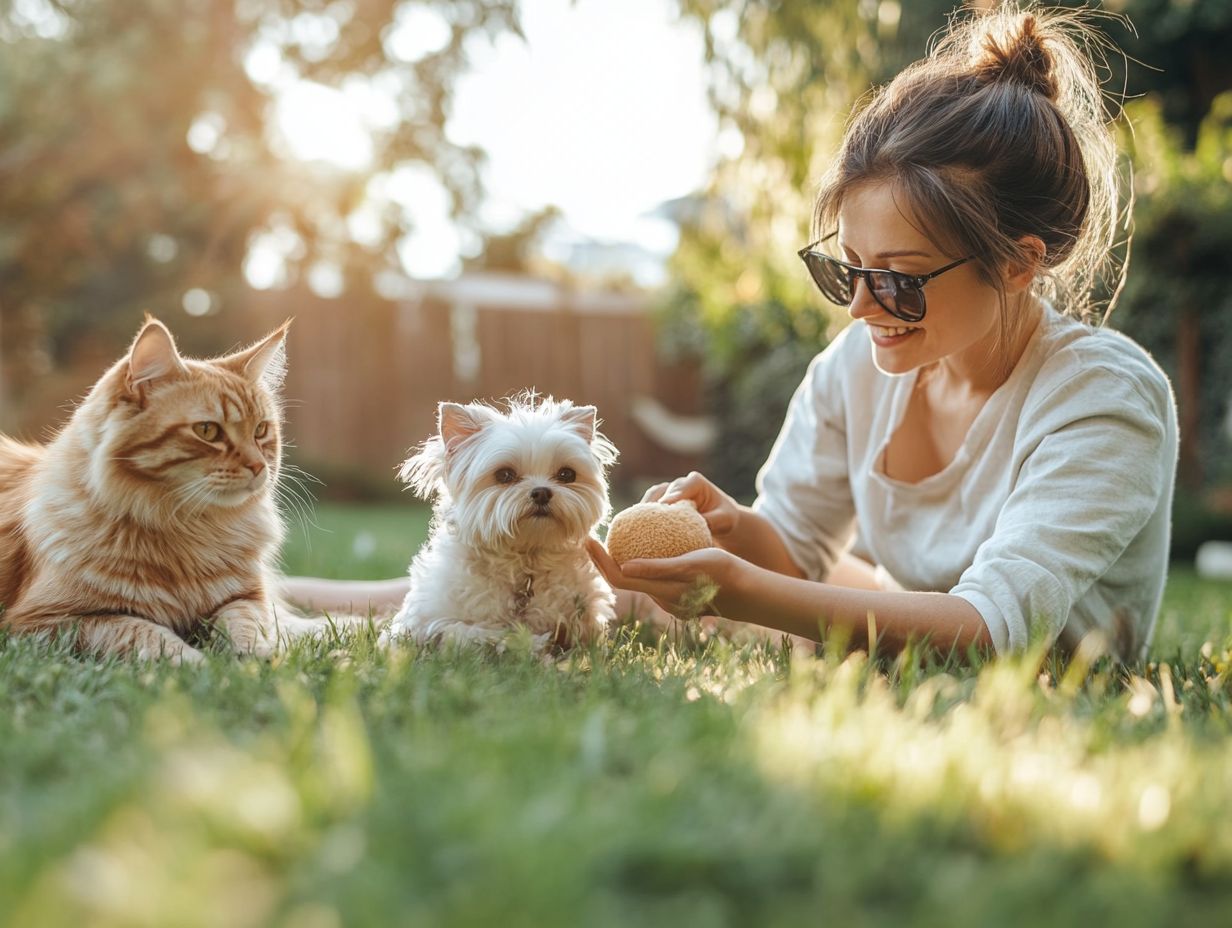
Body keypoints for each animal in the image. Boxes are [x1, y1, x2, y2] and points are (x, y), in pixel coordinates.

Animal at [0, 315, 322, 660]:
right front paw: (198, 662)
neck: (187, 527)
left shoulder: (244, 598)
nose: (259, 466)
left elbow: (247, 627)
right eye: (207, 431)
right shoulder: (47, 621)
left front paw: (255, 658)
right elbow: (145, 633)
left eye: (261, 430)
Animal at [376, 391, 616, 650]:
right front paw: (526, 643)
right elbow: (464, 631)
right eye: (504, 475)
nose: (542, 492)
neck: (524, 568)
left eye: (566, 474)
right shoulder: (420, 623)